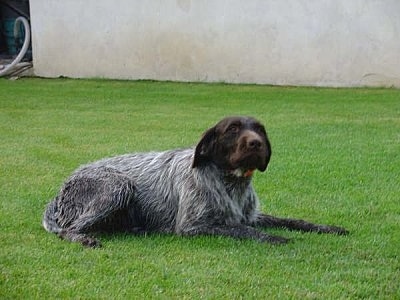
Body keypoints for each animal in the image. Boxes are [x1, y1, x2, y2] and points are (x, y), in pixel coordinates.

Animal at [42, 116, 346, 247]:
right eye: (233, 129)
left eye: (259, 129)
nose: (256, 143)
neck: (230, 183)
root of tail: (60, 191)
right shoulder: (193, 226)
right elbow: (240, 229)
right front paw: (273, 238)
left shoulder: (251, 215)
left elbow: (293, 220)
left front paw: (327, 228)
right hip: (118, 186)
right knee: (68, 229)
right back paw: (84, 238)